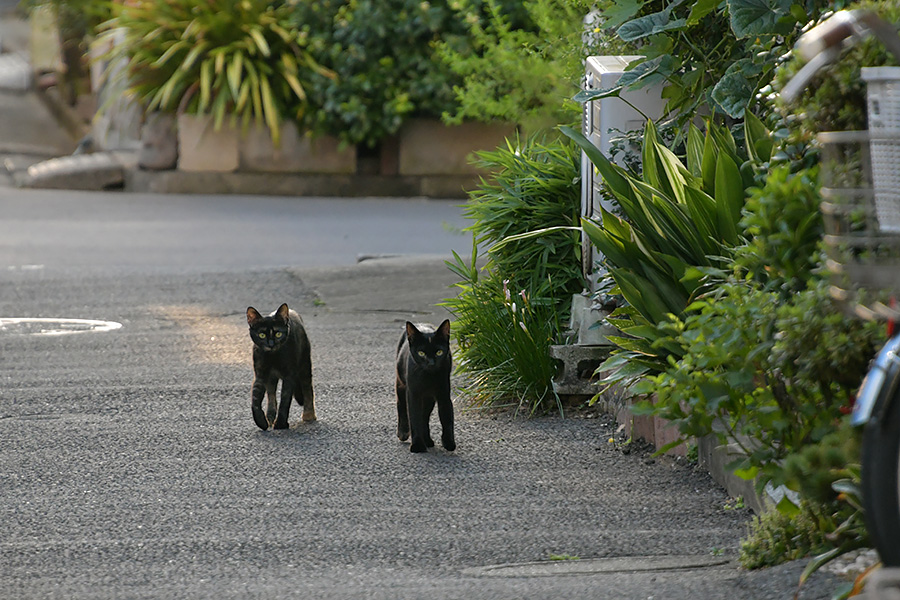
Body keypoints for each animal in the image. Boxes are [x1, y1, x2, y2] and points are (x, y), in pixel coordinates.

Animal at [246, 304, 316, 432]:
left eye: (278, 333)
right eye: (262, 335)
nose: (271, 344)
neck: (273, 356)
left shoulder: (289, 375)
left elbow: (285, 399)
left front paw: (281, 424)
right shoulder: (260, 374)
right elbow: (255, 399)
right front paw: (261, 422)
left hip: (304, 365)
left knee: (308, 389)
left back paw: (309, 415)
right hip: (271, 378)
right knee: (271, 395)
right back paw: (270, 416)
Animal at [394, 322, 454, 452]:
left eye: (439, 352)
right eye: (421, 353)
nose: (431, 363)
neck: (428, 377)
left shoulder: (444, 394)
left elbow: (447, 418)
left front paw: (449, 442)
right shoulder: (413, 394)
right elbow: (414, 417)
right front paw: (417, 445)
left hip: (429, 399)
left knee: (424, 416)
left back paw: (427, 440)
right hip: (401, 383)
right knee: (401, 405)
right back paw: (403, 432)